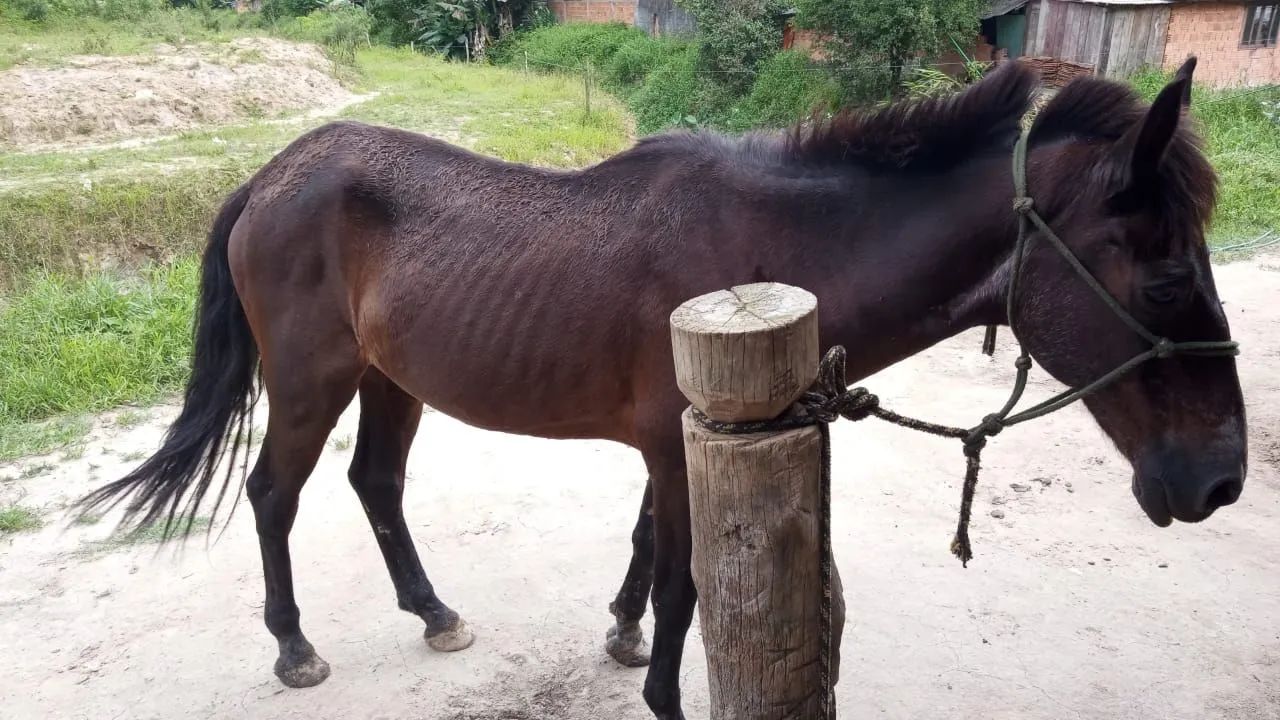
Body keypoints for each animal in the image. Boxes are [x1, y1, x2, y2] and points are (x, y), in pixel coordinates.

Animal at [81, 58, 1245, 719]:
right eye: (1165, 277)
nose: (1221, 481)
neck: (767, 248)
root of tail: (274, 173)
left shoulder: (673, 443)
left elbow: (651, 554)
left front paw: (620, 630)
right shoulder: (677, 443)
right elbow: (688, 585)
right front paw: (658, 687)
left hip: (387, 380)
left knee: (375, 486)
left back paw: (434, 613)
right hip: (309, 381)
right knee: (274, 496)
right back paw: (293, 649)